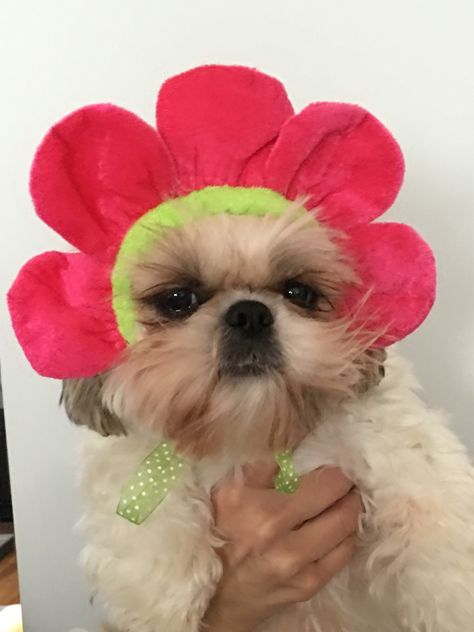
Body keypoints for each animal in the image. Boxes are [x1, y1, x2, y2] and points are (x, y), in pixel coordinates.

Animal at [63, 205, 474, 628]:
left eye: (299, 291)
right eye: (178, 299)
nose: (249, 314)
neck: (252, 431)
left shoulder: (394, 439)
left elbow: (433, 518)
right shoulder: (128, 461)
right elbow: (149, 523)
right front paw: (162, 609)